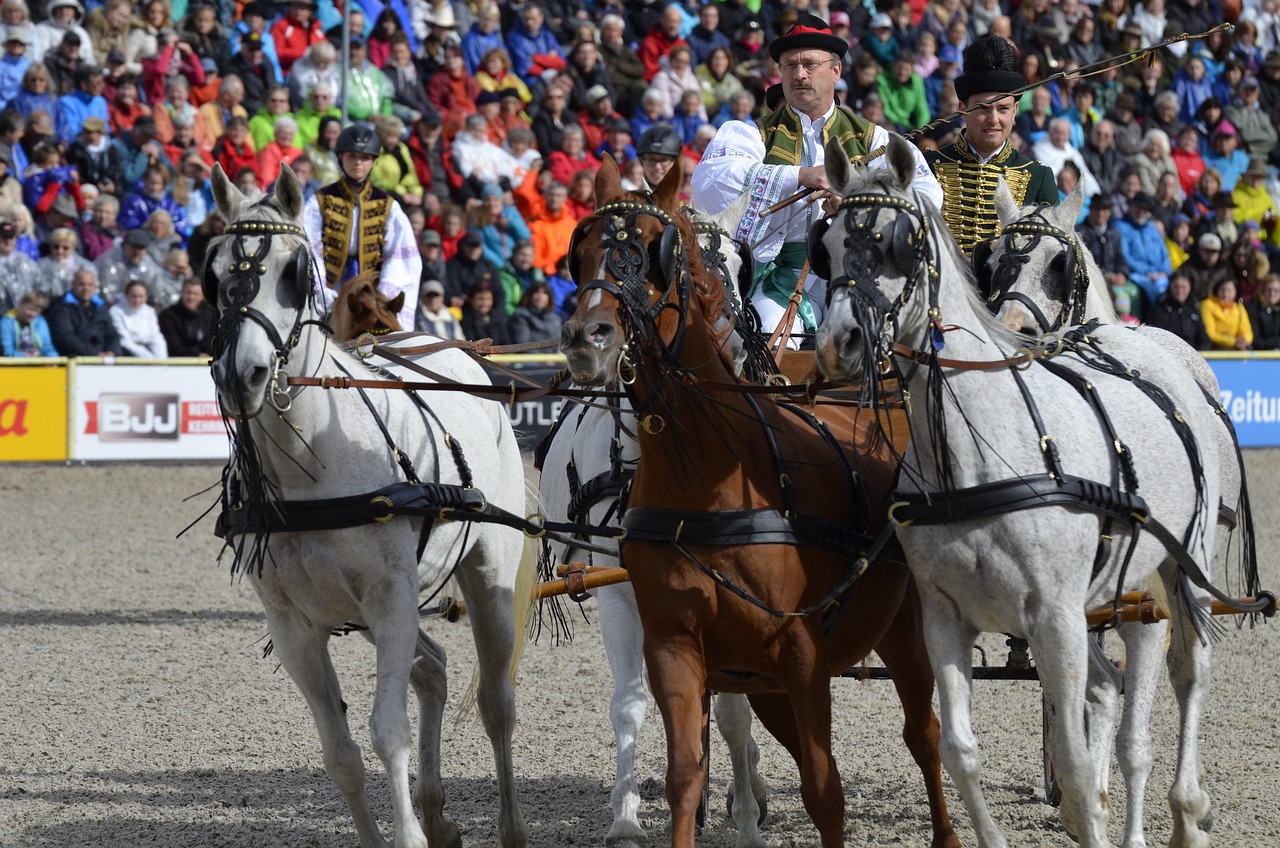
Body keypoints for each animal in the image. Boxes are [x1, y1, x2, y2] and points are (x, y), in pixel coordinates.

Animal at [203, 166, 529, 848]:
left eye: (293, 271)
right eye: (214, 274)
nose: (241, 375)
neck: (311, 466)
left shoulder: (390, 597)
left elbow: (388, 732)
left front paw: (407, 833)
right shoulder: (294, 625)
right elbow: (341, 754)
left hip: (485, 576)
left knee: (496, 704)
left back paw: (509, 826)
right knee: (434, 671)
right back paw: (437, 813)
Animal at [532, 194, 768, 848]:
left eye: (742, 268)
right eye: (580, 256)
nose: (727, 351)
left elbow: (735, 712)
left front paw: (745, 816)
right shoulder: (620, 592)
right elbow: (632, 702)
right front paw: (626, 817)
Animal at [560, 157, 962, 848]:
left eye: (653, 250)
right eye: (579, 252)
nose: (588, 337)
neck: (701, 478)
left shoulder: (797, 649)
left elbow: (821, 786)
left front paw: (748, 814)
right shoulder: (667, 635)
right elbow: (679, 764)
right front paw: (636, 815)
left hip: (905, 629)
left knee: (923, 734)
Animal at [814, 134, 1254, 848]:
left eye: (897, 242)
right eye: (822, 246)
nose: (836, 343)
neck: (980, 453)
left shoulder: (1057, 616)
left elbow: (1075, 761)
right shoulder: (944, 617)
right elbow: (961, 751)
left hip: (1173, 573)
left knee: (1187, 676)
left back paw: (1186, 812)